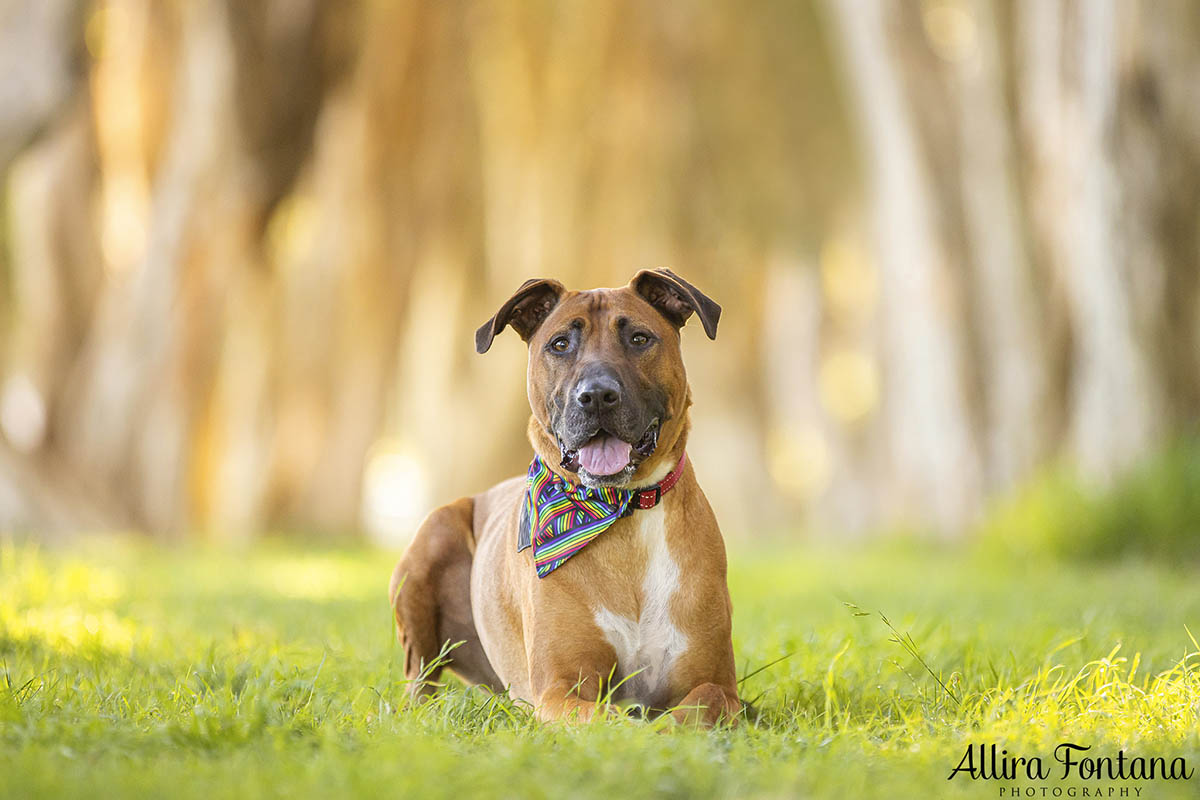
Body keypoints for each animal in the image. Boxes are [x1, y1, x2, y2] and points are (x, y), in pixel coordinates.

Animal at [388, 268, 739, 724]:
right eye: (560, 344)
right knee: (419, 682)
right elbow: (615, 719)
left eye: (639, 338)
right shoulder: (559, 690)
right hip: (431, 539)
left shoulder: (721, 685)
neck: (619, 508)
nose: (596, 395)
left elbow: (701, 701)